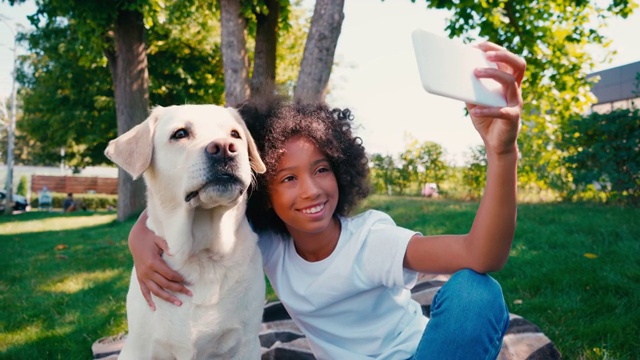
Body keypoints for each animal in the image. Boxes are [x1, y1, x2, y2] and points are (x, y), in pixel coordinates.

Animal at [106, 103, 266, 358]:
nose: (225, 148)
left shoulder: (247, 344)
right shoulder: (142, 348)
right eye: (180, 133)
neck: (202, 255)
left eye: (235, 134)